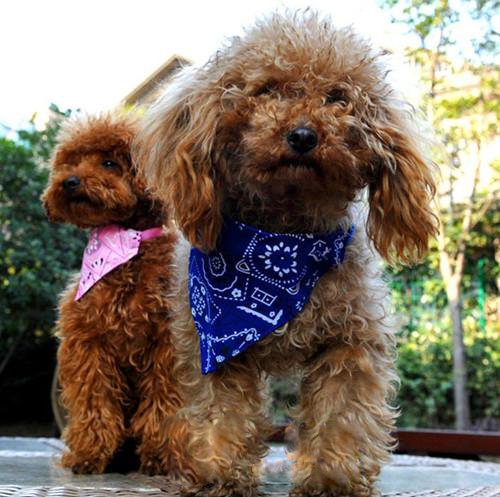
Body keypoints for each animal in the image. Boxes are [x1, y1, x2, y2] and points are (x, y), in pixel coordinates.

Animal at [42, 112, 181, 472]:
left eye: (109, 163)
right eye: (72, 161)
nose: (70, 182)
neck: (124, 245)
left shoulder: (165, 344)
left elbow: (162, 404)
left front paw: (158, 458)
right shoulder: (88, 341)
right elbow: (95, 400)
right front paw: (88, 455)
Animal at [135, 10, 436, 496]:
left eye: (338, 98)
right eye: (266, 90)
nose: (302, 135)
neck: (280, 246)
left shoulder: (348, 339)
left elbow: (342, 410)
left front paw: (334, 477)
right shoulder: (215, 344)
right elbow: (221, 411)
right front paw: (219, 474)